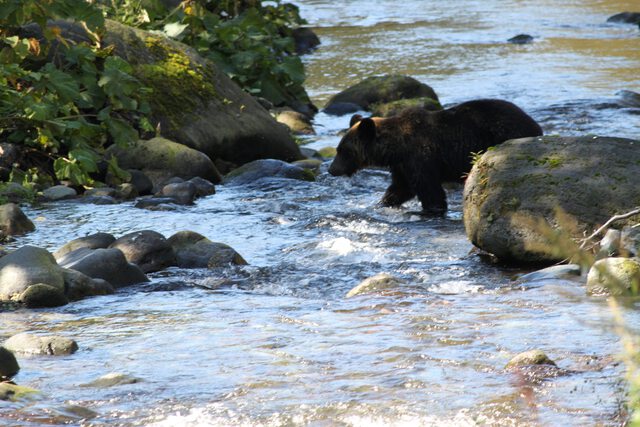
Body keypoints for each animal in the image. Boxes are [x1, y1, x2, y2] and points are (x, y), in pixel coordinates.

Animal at [328, 99, 544, 214]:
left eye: (342, 150)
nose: (331, 169)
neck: (396, 148)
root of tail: (535, 125)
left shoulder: (421, 158)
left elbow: (431, 192)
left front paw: (432, 209)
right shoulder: (402, 166)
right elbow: (400, 188)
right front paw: (382, 203)